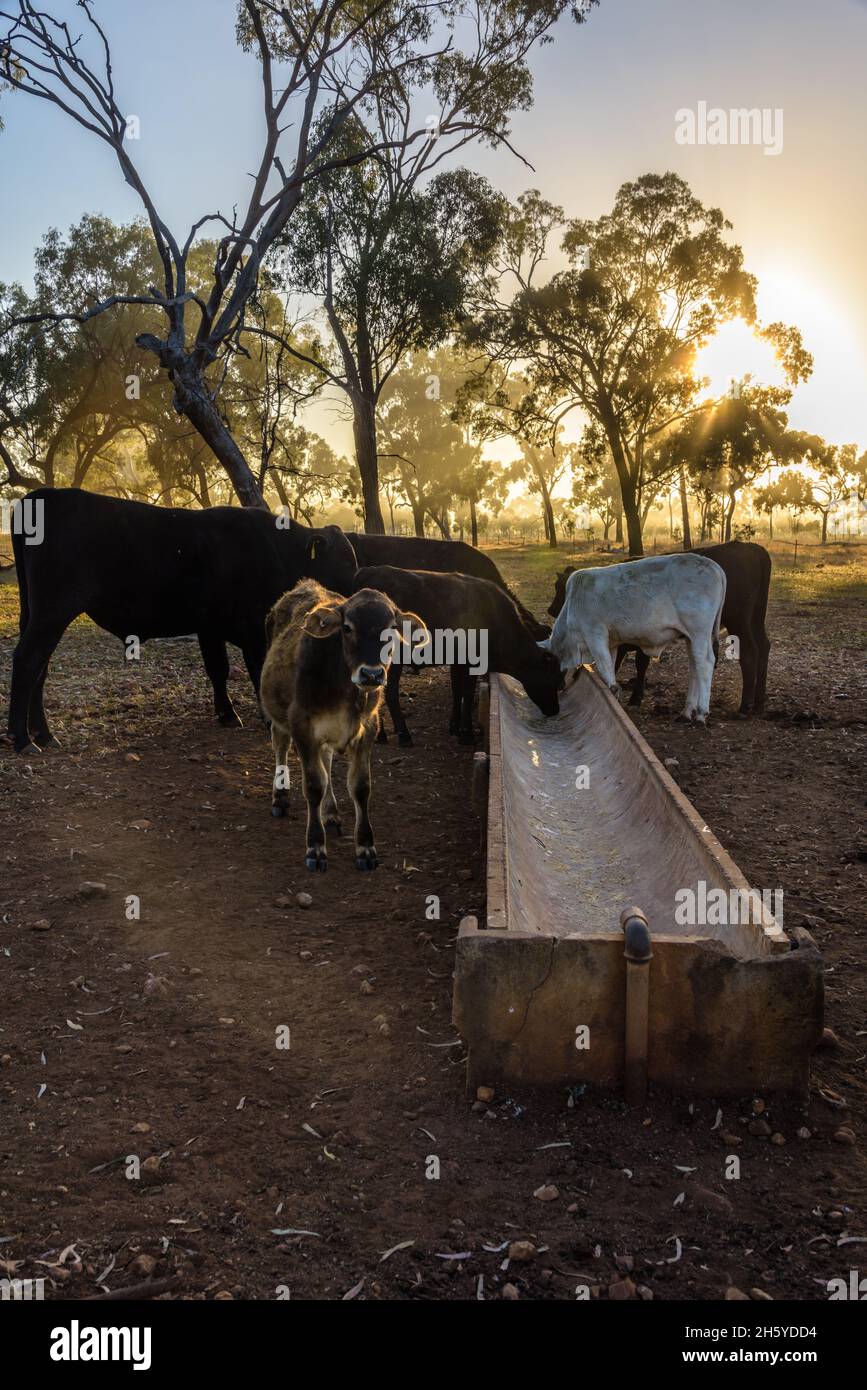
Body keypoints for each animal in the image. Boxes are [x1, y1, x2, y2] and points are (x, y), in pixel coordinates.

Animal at [5, 488, 358, 753]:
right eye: (343, 561)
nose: (351, 600)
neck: (276, 548)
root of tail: (40, 495)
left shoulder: (209, 626)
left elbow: (218, 669)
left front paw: (227, 714)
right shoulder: (253, 628)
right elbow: (256, 670)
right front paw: (265, 720)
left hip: (36, 613)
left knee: (40, 668)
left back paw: (43, 735)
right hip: (53, 611)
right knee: (27, 660)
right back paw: (22, 739)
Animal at [259, 580, 425, 872]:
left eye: (393, 628)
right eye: (347, 627)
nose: (371, 674)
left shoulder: (367, 729)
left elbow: (360, 787)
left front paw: (366, 848)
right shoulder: (302, 726)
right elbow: (314, 784)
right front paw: (315, 848)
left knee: (326, 761)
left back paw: (331, 813)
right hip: (280, 715)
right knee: (280, 746)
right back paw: (280, 797)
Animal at [351, 565, 561, 744]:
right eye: (554, 681)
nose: (555, 711)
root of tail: (368, 572)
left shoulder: (458, 662)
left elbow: (457, 691)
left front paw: (454, 726)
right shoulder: (473, 663)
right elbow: (467, 694)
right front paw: (466, 734)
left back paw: (380, 734)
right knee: (390, 693)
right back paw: (402, 734)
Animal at [548, 541, 771, 716]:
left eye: (558, 588)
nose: (550, 610)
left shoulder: (598, 634)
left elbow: (615, 667)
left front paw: (628, 697)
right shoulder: (616, 641)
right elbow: (614, 666)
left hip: (725, 625)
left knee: (726, 657)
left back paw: (723, 709)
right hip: (746, 621)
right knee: (755, 648)